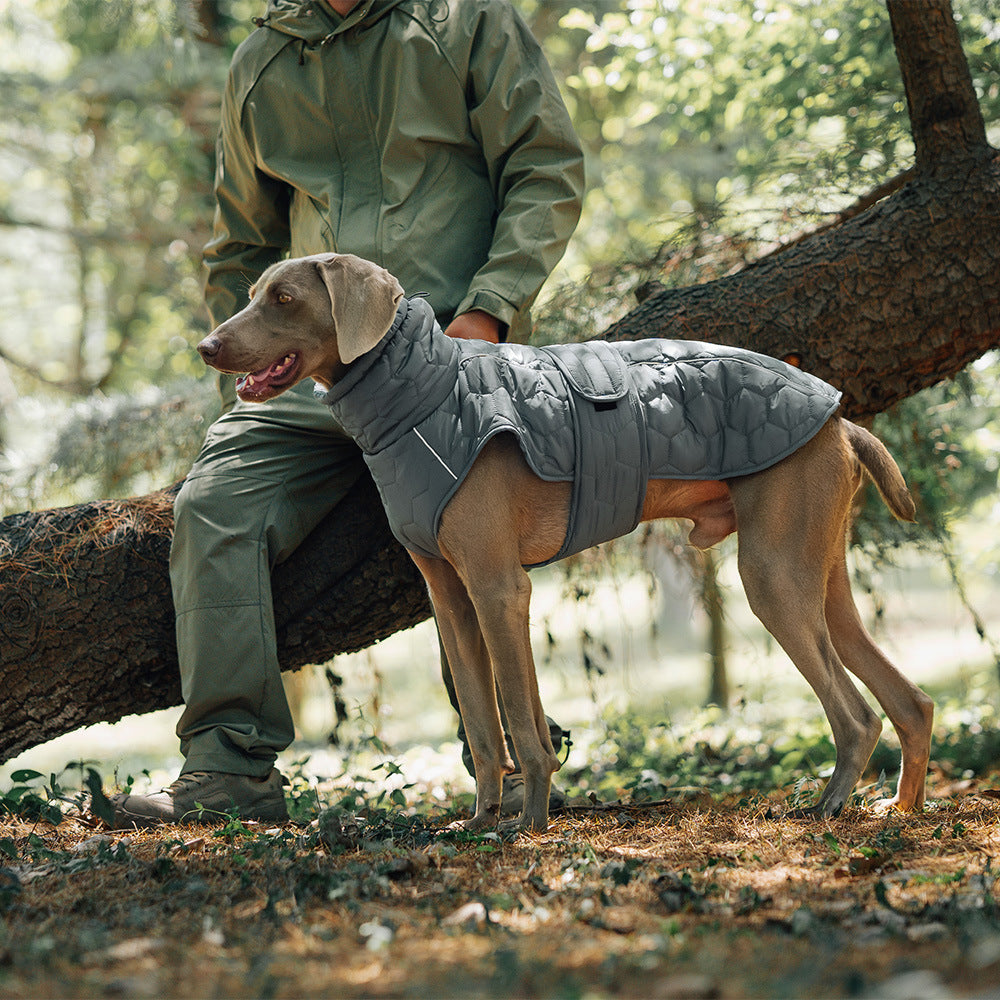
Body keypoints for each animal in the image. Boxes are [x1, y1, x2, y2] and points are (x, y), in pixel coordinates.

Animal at [199, 254, 932, 832]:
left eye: (284, 298)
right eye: (250, 293)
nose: (207, 346)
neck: (424, 396)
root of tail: (840, 422)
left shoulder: (500, 589)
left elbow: (522, 725)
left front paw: (527, 824)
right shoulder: (454, 601)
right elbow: (485, 725)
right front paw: (481, 821)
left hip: (773, 576)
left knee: (857, 715)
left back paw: (830, 807)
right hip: (818, 577)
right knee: (910, 703)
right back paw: (901, 810)